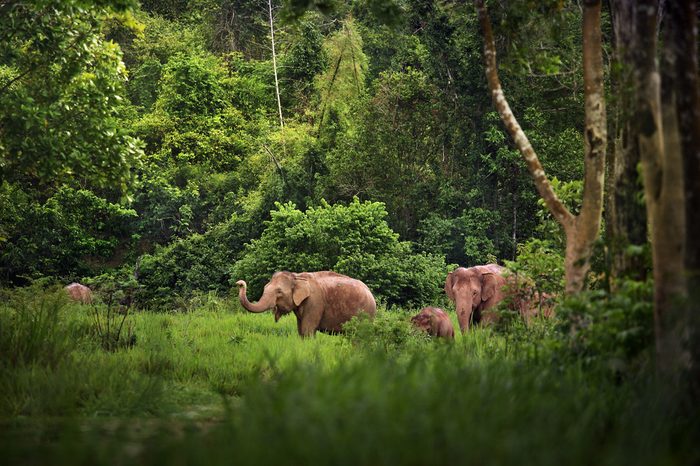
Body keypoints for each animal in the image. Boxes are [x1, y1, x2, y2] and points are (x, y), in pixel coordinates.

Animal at [235, 272, 378, 336]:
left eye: (279, 292)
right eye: (265, 287)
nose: (239, 283)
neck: (297, 277)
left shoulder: (315, 302)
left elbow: (307, 330)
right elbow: (301, 331)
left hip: (366, 313)